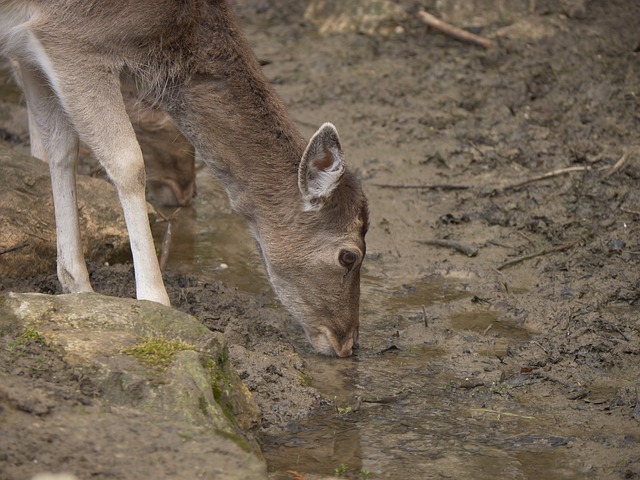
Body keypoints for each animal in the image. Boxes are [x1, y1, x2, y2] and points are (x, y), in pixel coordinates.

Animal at [1, 0, 370, 358]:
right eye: (349, 256)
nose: (347, 343)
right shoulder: (70, 39)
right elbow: (128, 162)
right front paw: (154, 300)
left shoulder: (31, 47)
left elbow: (60, 147)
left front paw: (78, 288)